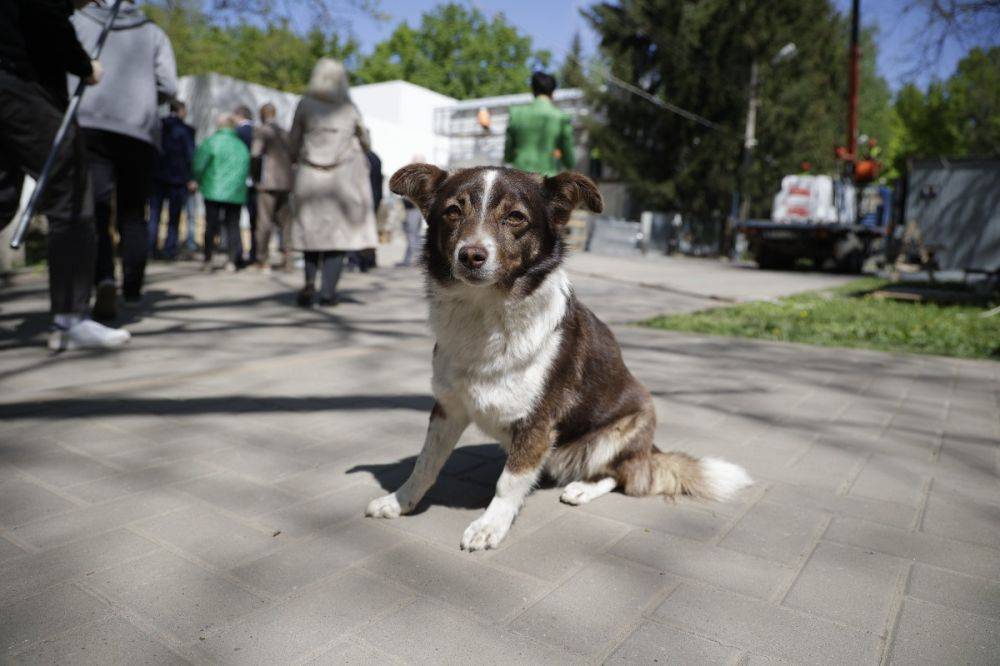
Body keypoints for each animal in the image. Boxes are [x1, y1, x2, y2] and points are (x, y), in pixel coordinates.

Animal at [368, 163, 752, 548]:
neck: (486, 313)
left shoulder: (538, 424)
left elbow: (508, 481)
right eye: (452, 211)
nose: (471, 255)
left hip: (621, 430)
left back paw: (583, 488)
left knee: (626, 477)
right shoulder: (448, 408)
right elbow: (425, 463)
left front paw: (490, 525)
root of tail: (650, 450)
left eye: (515, 217)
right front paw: (399, 502)